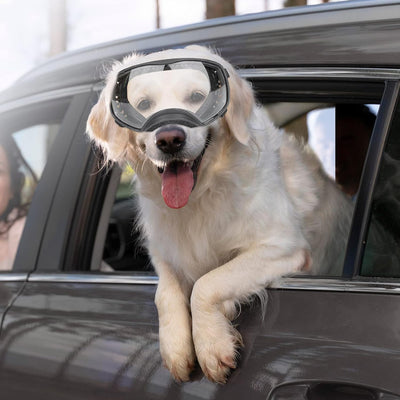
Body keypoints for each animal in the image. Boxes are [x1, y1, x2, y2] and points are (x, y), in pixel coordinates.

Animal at [86, 45, 352, 382]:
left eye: (197, 97)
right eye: (144, 104)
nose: (169, 139)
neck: (201, 196)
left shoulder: (284, 246)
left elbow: (208, 282)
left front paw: (211, 344)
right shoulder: (164, 251)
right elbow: (165, 293)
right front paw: (175, 347)